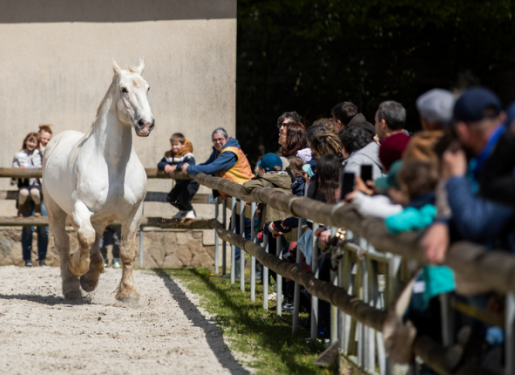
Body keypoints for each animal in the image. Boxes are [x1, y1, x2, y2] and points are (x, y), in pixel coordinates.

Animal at [42, 60, 153, 304]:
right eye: (124, 89)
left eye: (147, 87)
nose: (146, 124)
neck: (112, 166)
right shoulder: (80, 207)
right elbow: (84, 238)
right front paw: (77, 268)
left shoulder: (134, 212)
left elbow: (127, 251)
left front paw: (128, 293)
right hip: (56, 211)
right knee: (64, 244)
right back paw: (73, 288)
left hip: (100, 217)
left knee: (95, 242)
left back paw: (90, 278)